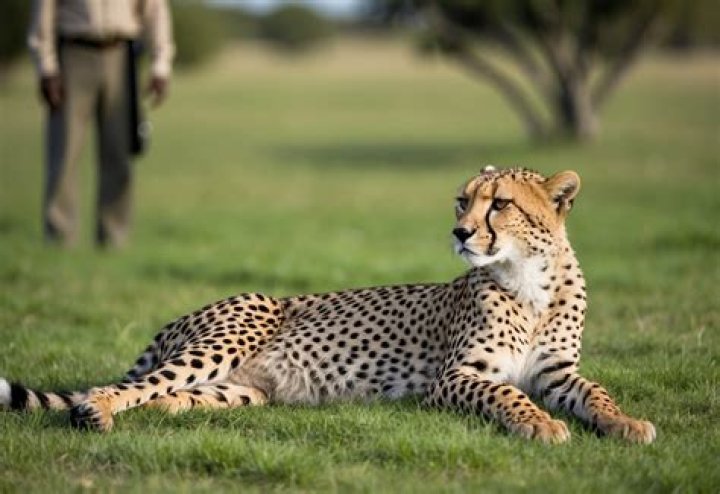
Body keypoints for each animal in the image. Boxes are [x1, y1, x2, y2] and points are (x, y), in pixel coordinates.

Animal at [0, 166, 656, 444]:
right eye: (461, 200)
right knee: (125, 387)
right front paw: (540, 424)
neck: (529, 279)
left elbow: (596, 394)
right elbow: (510, 396)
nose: (461, 232)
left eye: (499, 204)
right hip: (224, 339)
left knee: (167, 396)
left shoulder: (557, 373)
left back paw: (161, 412)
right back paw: (98, 410)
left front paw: (624, 423)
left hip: (242, 390)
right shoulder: (457, 377)